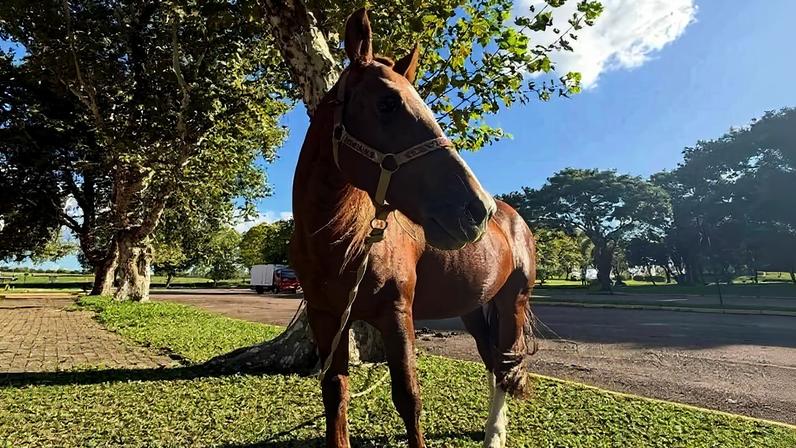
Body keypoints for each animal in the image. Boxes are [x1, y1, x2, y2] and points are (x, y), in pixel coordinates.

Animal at [290, 9, 536, 448]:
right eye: (388, 102)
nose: (478, 209)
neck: (341, 241)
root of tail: (514, 218)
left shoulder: (397, 314)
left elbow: (408, 397)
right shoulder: (327, 317)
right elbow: (335, 391)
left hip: (513, 303)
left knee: (507, 365)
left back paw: (495, 433)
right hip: (473, 308)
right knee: (493, 362)